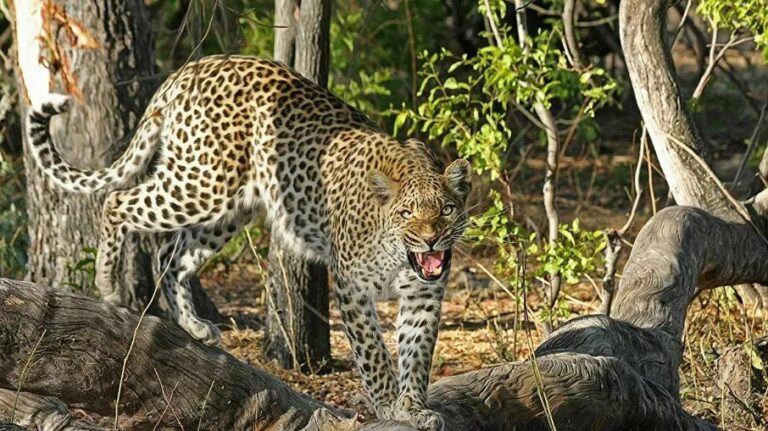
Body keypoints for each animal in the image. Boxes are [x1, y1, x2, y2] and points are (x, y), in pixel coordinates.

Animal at [26, 55, 471, 429]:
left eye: (447, 210)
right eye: (407, 213)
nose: (431, 240)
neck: (400, 255)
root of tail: (189, 68)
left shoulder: (423, 296)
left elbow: (417, 353)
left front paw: (413, 407)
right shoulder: (351, 287)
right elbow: (374, 354)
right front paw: (389, 404)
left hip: (228, 208)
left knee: (171, 255)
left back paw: (194, 325)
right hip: (202, 183)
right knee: (117, 201)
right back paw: (109, 284)